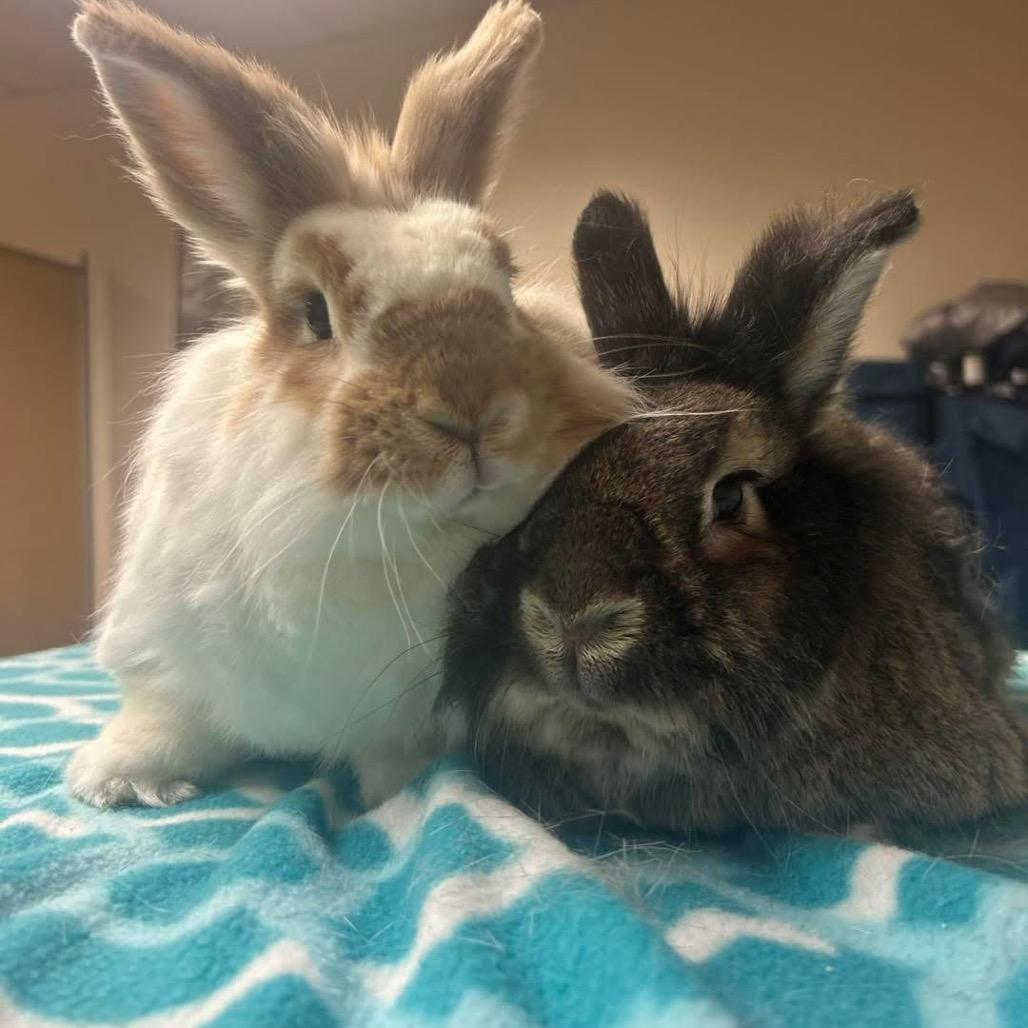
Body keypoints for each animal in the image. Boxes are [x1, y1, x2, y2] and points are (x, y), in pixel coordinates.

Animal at [66, 2, 636, 810]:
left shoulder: (409, 720)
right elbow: (166, 719)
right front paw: (116, 780)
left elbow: (398, 766)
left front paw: (393, 805)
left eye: (508, 280)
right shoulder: (171, 662)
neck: (369, 544)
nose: (473, 416)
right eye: (314, 314)